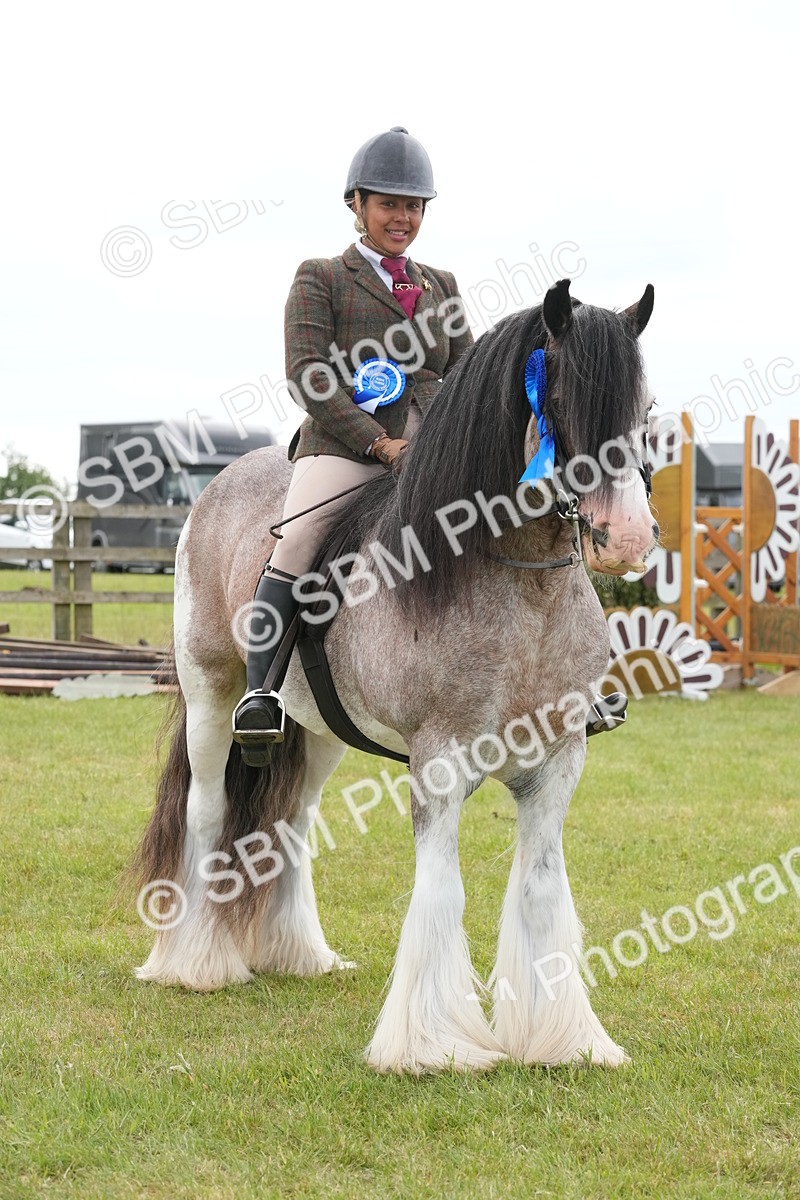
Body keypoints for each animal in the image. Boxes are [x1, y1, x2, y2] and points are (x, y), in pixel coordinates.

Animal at [132, 277, 658, 1075]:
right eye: (564, 400)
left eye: (645, 408)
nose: (627, 540)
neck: (519, 581)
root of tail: (223, 482)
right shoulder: (439, 759)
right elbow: (442, 892)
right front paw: (434, 1045)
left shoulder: (560, 760)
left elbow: (540, 889)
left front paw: (562, 1039)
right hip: (210, 694)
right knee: (208, 809)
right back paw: (194, 963)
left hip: (317, 729)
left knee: (293, 818)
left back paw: (299, 954)